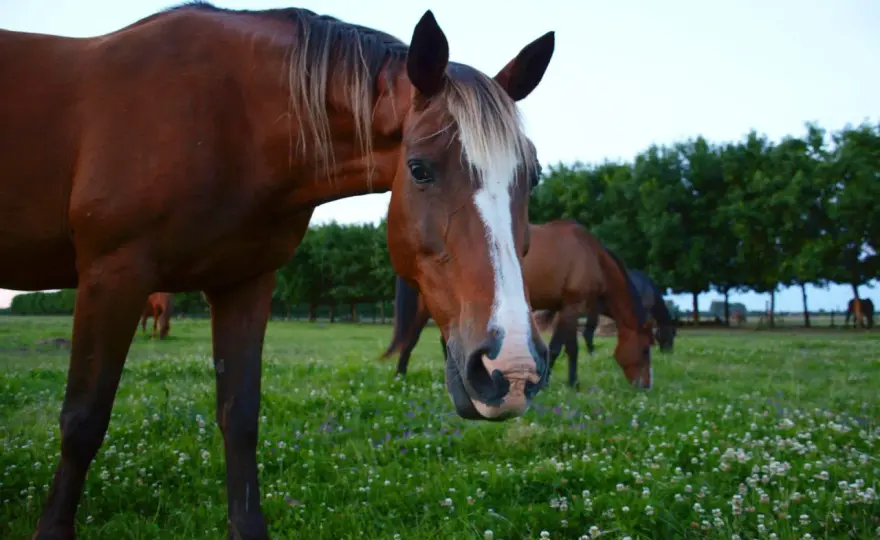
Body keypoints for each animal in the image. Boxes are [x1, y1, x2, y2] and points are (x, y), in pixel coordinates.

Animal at [0, 4, 556, 538]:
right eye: (419, 168)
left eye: (533, 175)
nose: (511, 370)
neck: (228, 119)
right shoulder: (112, 274)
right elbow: (83, 419)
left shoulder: (245, 282)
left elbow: (240, 417)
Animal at [383, 220, 654, 390]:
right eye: (644, 350)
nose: (645, 386)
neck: (590, 253)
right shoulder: (572, 306)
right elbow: (559, 347)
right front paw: (548, 383)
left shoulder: (568, 308)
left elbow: (570, 347)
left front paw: (572, 382)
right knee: (411, 338)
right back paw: (400, 376)